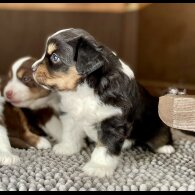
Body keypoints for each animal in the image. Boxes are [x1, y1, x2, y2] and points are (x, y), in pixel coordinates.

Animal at [31, 28, 174, 177]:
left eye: (55, 57)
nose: (32, 68)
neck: (84, 90)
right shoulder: (71, 113)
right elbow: (70, 132)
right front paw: (67, 147)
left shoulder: (113, 122)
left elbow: (105, 147)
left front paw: (98, 167)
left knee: (163, 133)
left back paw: (165, 147)